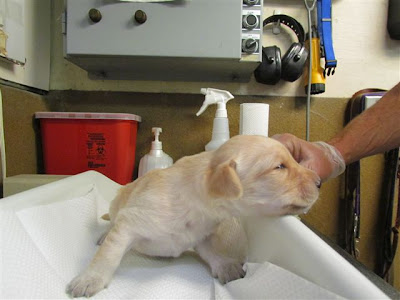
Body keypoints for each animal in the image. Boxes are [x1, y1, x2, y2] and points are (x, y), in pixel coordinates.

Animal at [67, 136, 320, 298]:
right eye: (280, 167)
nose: (319, 181)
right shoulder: (129, 223)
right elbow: (109, 253)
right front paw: (90, 279)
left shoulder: (201, 235)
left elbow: (212, 252)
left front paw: (226, 266)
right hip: (117, 203)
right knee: (111, 222)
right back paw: (103, 234)